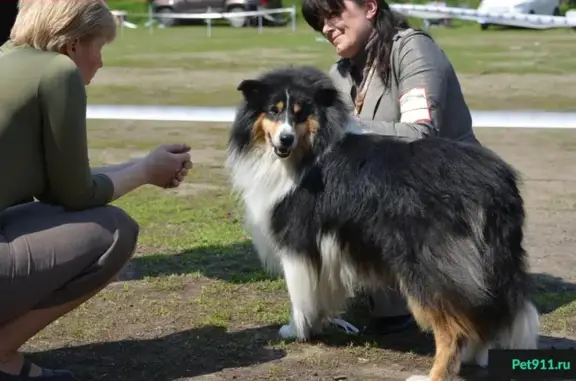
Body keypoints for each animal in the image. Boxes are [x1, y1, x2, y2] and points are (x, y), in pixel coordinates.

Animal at [225, 66, 540, 380]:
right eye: (273, 110)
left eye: (301, 113)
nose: (285, 140)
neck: (309, 150)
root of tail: (496, 182)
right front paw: (318, 324)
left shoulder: (297, 242)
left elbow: (299, 295)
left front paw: (295, 330)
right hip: (489, 265)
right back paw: (475, 357)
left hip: (430, 265)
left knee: (454, 329)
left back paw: (434, 374)